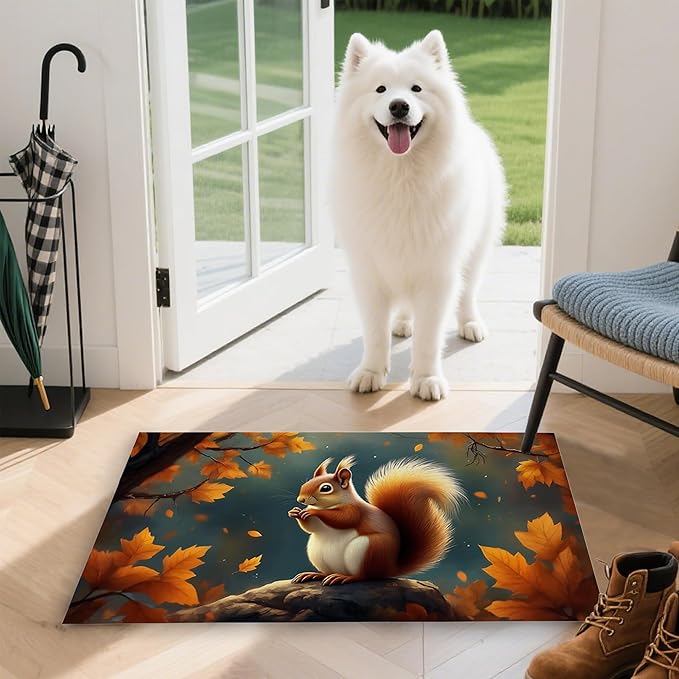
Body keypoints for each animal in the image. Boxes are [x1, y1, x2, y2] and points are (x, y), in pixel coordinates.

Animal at [288, 455, 465, 587]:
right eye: (306, 483)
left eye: (326, 488)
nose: (301, 499)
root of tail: (390, 568)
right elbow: (311, 528)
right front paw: (295, 512)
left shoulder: (355, 511)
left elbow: (343, 519)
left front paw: (311, 511)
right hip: (318, 554)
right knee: (327, 572)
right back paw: (314, 575)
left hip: (368, 549)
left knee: (365, 576)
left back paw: (344, 578)